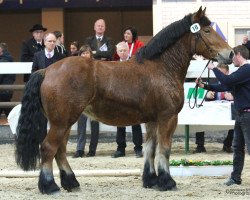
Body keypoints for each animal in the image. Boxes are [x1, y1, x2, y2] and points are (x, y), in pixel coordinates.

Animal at [15, 7, 233, 195]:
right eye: (207, 30)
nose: (229, 53)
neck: (161, 67)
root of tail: (47, 70)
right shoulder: (167, 118)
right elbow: (164, 149)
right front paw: (167, 181)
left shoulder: (152, 120)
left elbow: (150, 148)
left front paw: (151, 180)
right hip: (62, 122)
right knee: (48, 148)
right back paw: (49, 186)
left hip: (64, 122)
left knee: (59, 150)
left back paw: (71, 182)